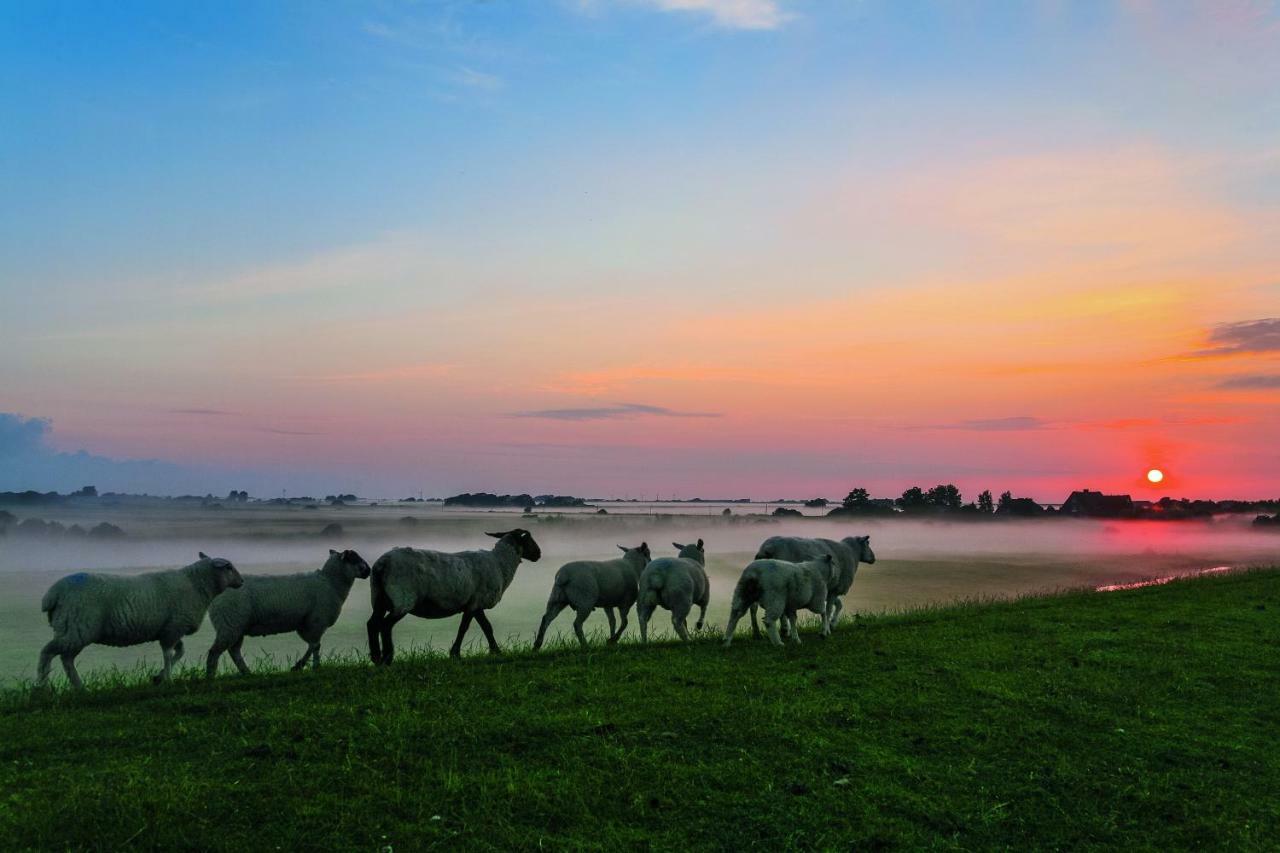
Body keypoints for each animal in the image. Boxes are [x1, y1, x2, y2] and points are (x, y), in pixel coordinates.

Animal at [38, 550, 241, 686]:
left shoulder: (170, 629)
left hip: (73, 629)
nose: (241, 582)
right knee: (48, 652)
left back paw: (79, 687)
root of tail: (53, 593)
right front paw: (167, 679)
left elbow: (180, 651)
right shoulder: (173, 628)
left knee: (66, 659)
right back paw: (43, 687)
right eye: (229, 567)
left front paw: (158, 677)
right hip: (77, 627)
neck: (196, 585)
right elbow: (168, 654)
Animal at [204, 545, 373, 676]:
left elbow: (313, 645)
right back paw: (211, 677)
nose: (369, 571)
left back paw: (247, 673)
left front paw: (303, 666)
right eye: (355, 558)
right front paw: (310, 666)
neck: (330, 582)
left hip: (236, 626)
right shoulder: (316, 621)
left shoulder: (306, 623)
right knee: (214, 652)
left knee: (234, 652)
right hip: (230, 623)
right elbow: (315, 646)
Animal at [366, 527, 540, 660]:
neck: (500, 563)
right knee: (385, 625)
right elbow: (464, 628)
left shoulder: (476, 605)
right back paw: (387, 657)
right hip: (402, 599)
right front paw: (455, 654)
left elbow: (487, 627)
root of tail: (381, 564)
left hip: (379, 598)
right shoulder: (474, 603)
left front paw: (496, 651)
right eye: (529, 538)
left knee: (372, 624)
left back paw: (376, 658)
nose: (539, 554)